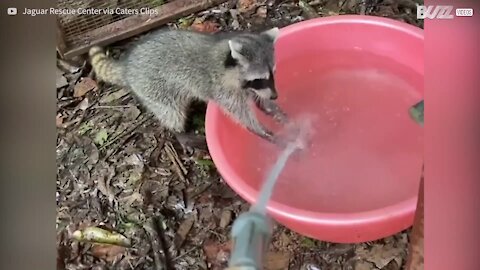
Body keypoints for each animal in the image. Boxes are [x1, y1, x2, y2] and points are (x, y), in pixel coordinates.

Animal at [88, 27, 286, 143]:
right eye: (260, 78)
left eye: (273, 74)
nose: (276, 96)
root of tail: (127, 66)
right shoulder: (222, 89)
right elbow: (240, 112)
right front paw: (259, 128)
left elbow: (257, 98)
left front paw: (271, 108)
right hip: (153, 87)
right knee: (171, 111)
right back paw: (179, 132)